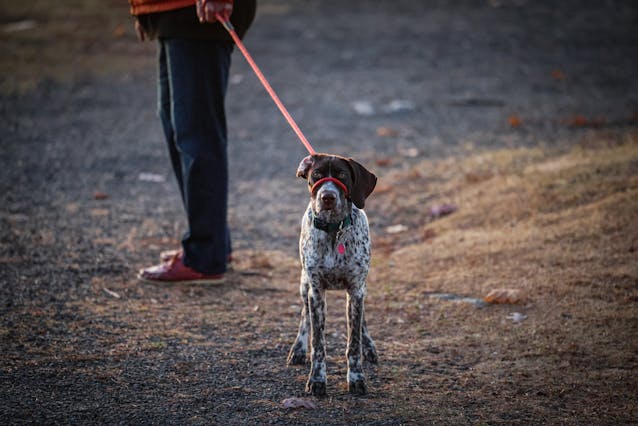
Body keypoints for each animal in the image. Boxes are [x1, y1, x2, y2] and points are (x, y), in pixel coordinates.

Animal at [286, 153, 380, 396]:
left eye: (342, 175)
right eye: (317, 175)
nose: (327, 197)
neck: (334, 229)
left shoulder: (356, 291)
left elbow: (353, 343)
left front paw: (356, 378)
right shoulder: (316, 292)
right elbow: (318, 343)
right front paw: (317, 379)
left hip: (360, 290)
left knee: (362, 322)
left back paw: (369, 346)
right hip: (304, 286)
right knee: (304, 317)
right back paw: (298, 349)